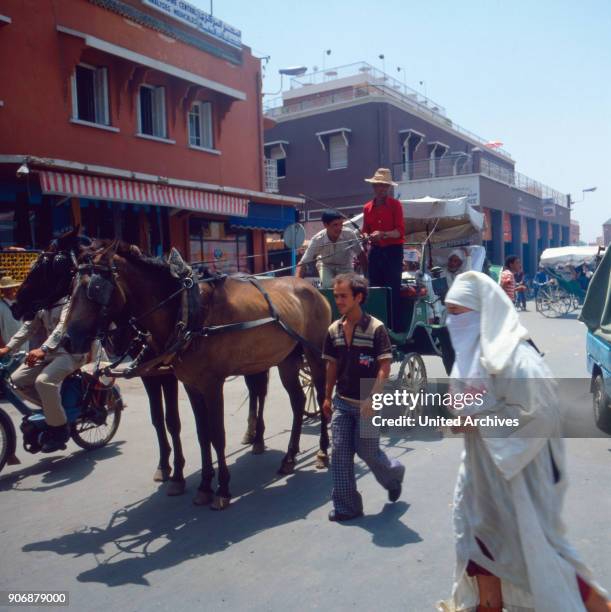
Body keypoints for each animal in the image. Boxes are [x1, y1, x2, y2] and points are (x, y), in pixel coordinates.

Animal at [65, 241, 332, 510]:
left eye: (95, 289)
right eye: (71, 287)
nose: (68, 339)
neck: (188, 311)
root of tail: (312, 288)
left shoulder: (212, 384)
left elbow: (217, 434)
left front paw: (222, 489)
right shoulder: (190, 384)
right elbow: (202, 434)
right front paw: (204, 485)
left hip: (315, 354)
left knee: (321, 397)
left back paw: (322, 452)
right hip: (287, 358)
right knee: (297, 401)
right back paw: (289, 457)